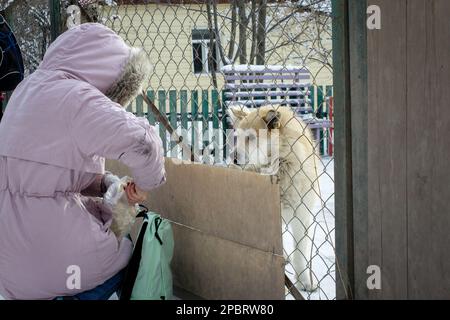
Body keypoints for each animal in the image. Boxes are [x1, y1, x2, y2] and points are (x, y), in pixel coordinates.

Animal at [227, 105, 318, 292]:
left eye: (251, 138)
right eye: (238, 138)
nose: (232, 158)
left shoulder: (302, 217)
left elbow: (300, 255)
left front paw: (304, 282)